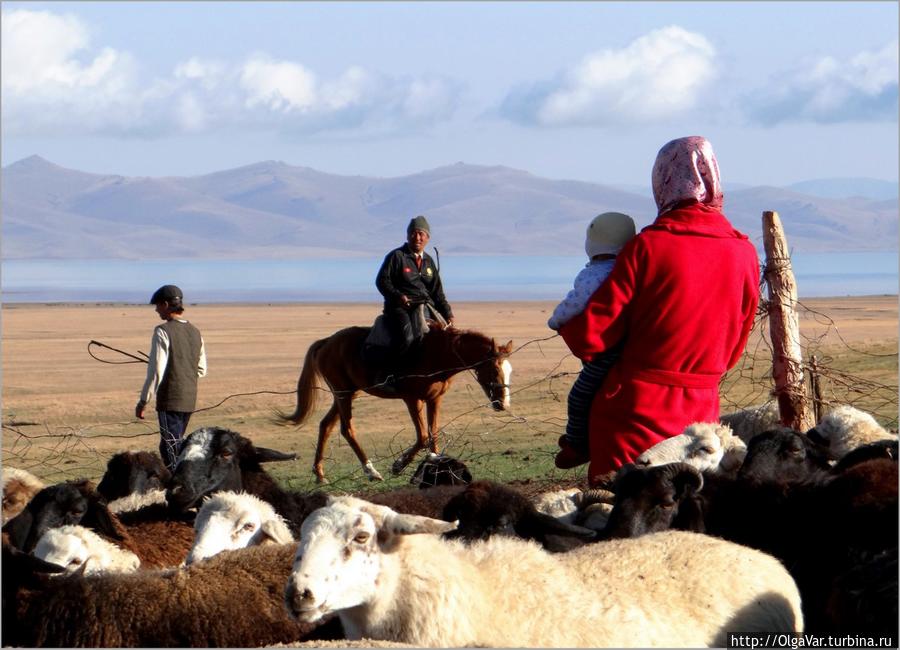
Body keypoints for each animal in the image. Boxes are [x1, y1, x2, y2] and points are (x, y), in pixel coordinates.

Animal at [282, 324, 510, 480]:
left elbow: (433, 435)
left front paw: (434, 466)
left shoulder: (434, 399)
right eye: (495, 370)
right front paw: (398, 465)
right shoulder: (412, 399)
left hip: (348, 393)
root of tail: (326, 342)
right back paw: (371, 471)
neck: (438, 353)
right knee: (347, 430)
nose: (503, 404)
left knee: (326, 425)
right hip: (343, 394)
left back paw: (320, 474)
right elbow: (423, 436)